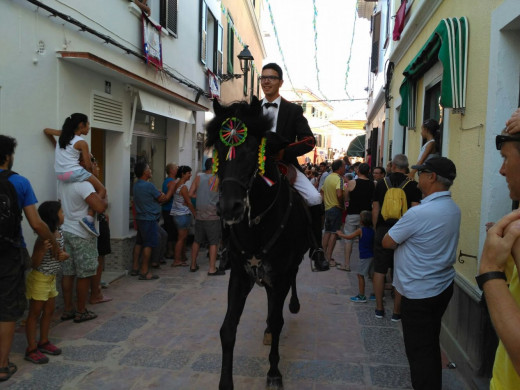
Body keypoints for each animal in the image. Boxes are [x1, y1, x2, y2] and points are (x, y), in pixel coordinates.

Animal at [206, 97, 312, 390]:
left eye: (254, 149)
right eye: (218, 148)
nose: (229, 207)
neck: (257, 222)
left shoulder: (280, 275)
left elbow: (277, 322)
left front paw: (274, 372)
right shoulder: (240, 275)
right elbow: (227, 328)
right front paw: (225, 383)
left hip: (287, 270)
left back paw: (293, 305)